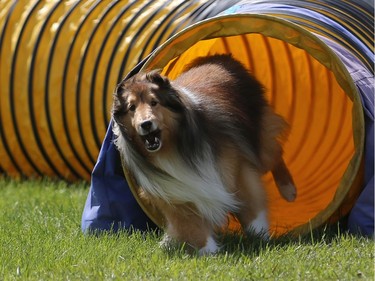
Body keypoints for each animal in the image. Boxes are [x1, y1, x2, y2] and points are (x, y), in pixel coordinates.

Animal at [112, 53, 296, 254]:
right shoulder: (174, 191)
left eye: (154, 102)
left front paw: (261, 235)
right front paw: (208, 252)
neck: (173, 149)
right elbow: (192, 223)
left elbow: (250, 204)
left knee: (276, 152)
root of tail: (218, 57)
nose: (145, 124)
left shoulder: (236, 167)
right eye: (132, 107)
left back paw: (289, 190)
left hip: (259, 138)